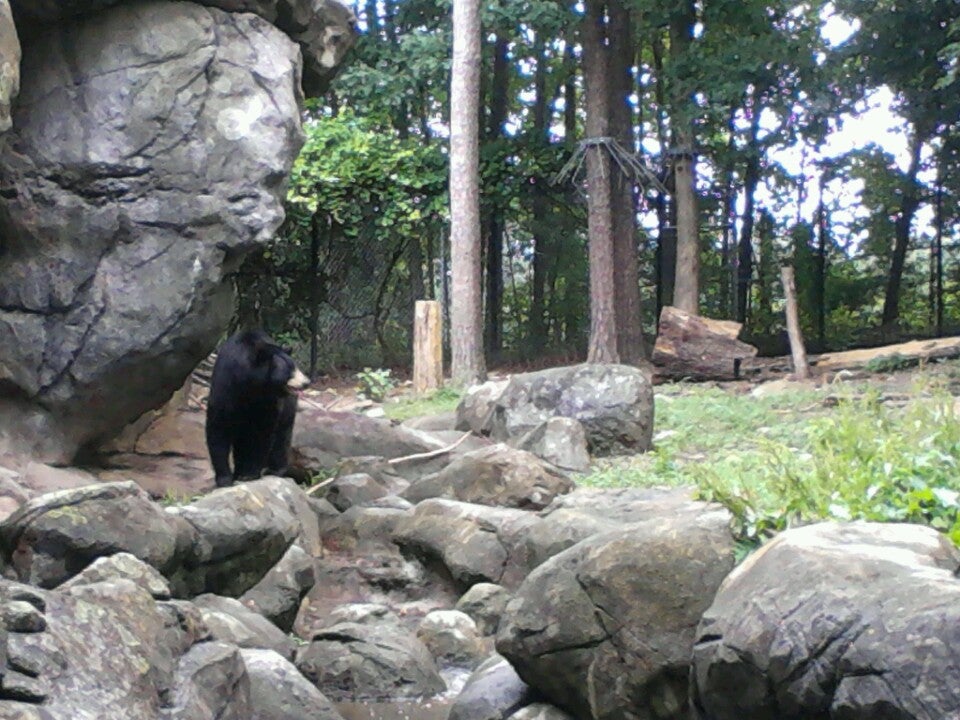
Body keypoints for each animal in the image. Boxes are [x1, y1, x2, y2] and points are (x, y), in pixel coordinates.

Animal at [205, 330, 310, 487]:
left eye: (295, 366)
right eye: (289, 370)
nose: (306, 382)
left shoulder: (269, 401)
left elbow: (263, 432)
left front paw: (249, 474)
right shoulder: (225, 387)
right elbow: (218, 427)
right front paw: (224, 478)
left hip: (288, 405)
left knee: (282, 434)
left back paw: (275, 469)